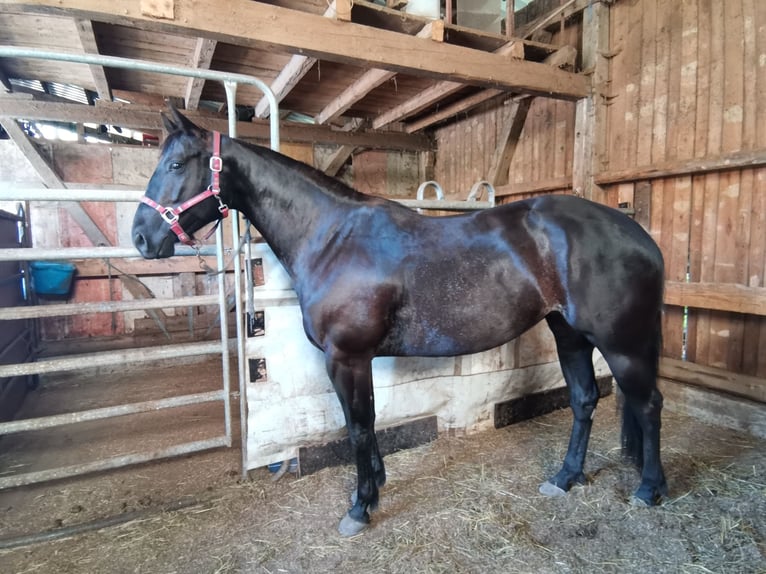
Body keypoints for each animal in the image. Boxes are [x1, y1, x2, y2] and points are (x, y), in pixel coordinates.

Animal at [135, 109, 668, 540]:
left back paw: (649, 489)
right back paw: (565, 479)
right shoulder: (357, 360)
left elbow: (357, 426)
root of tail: (637, 232)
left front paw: (359, 509)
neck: (332, 237)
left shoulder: (346, 357)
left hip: (620, 344)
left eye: (177, 165)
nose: (141, 237)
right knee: (584, 400)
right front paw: (376, 488)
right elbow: (367, 422)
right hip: (569, 335)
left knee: (647, 404)